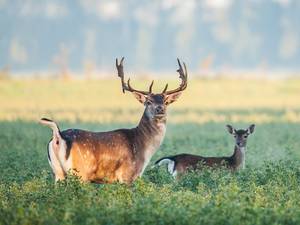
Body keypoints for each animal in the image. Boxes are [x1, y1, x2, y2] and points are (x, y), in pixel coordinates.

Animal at [40, 57, 188, 184]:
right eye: (148, 102)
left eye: (166, 102)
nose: (160, 109)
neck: (143, 148)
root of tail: (58, 136)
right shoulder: (127, 175)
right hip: (80, 172)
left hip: (58, 172)